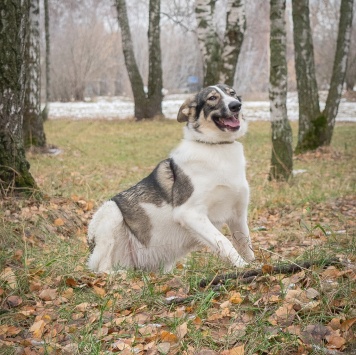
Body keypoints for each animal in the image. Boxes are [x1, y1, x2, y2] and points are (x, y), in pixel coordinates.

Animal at [87, 85, 254, 274]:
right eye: (212, 98)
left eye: (232, 93)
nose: (236, 105)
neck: (217, 147)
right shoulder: (189, 213)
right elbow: (223, 241)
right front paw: (243, 267)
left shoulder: (238, 215)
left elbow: (246, 244)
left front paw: (256, 266)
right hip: (111, 211)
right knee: (102, 269)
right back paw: (120, 274)